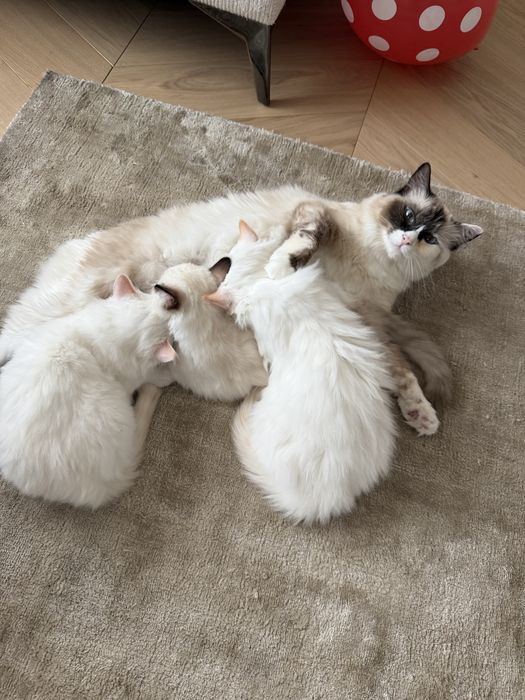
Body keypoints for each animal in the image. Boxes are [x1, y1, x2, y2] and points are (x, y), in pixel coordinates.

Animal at [0, 163, 481, 418]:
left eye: (429, 238)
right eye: (406, 216)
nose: (406, 239)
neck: (371, 263)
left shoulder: (369, 319)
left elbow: (401, 370)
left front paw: (421, 415)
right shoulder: (314, 215)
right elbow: (304, 239)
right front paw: (282, 264)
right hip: (61, 304)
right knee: (12, 335)